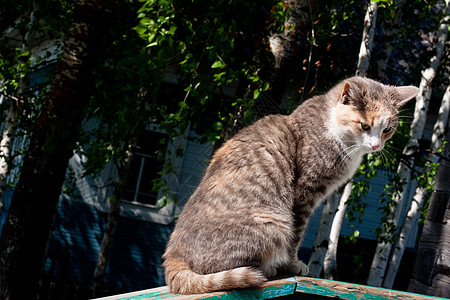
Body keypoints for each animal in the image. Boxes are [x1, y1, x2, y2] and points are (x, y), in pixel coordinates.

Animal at [162, 76, 418, 294]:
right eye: (365, 126)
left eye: (387, 129)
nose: (376, 146)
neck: (331, 126)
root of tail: (174, 254)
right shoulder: (305, 192)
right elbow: (297, 234)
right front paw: (293, 264)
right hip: (274, 222)